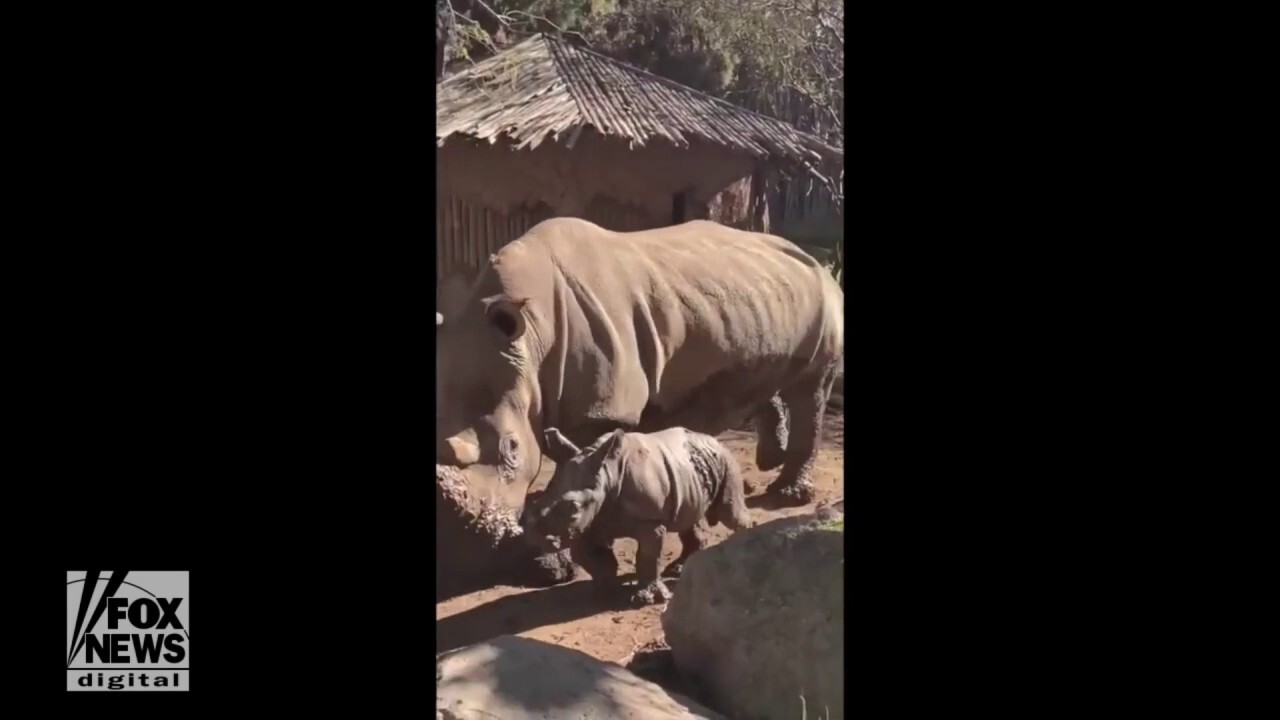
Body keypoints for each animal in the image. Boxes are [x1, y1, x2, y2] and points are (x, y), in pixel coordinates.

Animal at [435, 217, 844, 584]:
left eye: (512, 448)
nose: (465, 554)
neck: (530, 339)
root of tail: (812, 258)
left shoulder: (601, 412)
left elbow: (580, 470)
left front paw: (572, 563)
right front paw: (546, 563)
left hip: (825, 298)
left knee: (810, 390)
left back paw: (788, 495)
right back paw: (767, 464)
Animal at [519, 422, 752, 602]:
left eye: (573, 508)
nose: (537, 536)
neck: (607, 474)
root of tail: (714, 439)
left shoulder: (650, 520)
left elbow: (648, 557)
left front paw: (646, 598)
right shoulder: (591, 521)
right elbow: (590, 558)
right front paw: (603, 592)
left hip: (725, 459)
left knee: (730, 514)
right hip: (690, 470)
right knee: (688, 518)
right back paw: (679, 568)